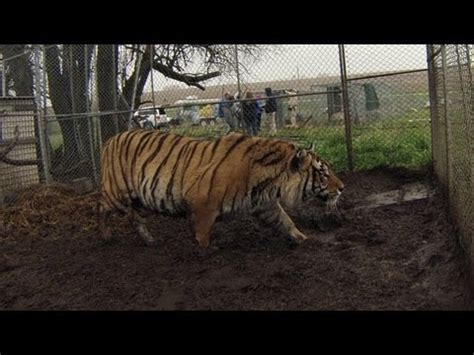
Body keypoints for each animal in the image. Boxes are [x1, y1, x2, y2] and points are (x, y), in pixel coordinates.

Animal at [99, 129, 344, 249]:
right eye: (323, 174)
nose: (342, 188)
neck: (271, 181)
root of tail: (109, 139)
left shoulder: (265, 205)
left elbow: (286, 221)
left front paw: (303, 239)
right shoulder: (202, 204)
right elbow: (202, 234)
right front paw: (206, 252)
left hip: (142, 199)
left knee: (135, 218)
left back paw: (150, 241)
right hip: (117, 193)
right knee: (102, 207)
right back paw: (106, 236)